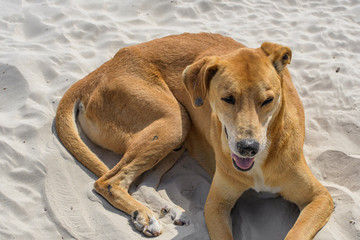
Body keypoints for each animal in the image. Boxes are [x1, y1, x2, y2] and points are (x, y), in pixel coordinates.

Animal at [54, 32, 334, 239]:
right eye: (227, 98)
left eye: (268, 100)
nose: (248, 147)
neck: (260, 163)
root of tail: (99, 70)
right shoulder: (216, 204)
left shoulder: (320, 198)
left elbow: (296, 233)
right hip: (174, 121)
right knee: (109, 181)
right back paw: (143, 216)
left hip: (177, 136)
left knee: (143, 181)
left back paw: (171, 210)